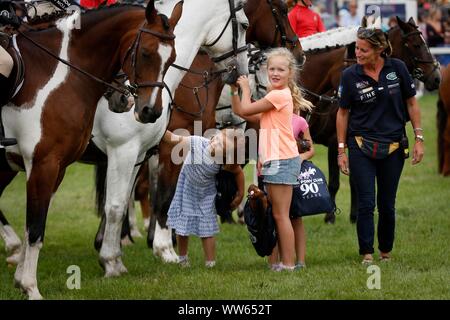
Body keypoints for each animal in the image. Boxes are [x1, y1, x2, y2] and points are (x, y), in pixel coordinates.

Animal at [0, 1, 183, 298]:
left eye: (171, 59)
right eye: (145, 53)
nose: (149, 111)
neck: (61, 74)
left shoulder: (58, 166)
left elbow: (35, 225)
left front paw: (20, 279)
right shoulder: (44, 163)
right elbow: (37, 228)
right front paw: (31, 287)